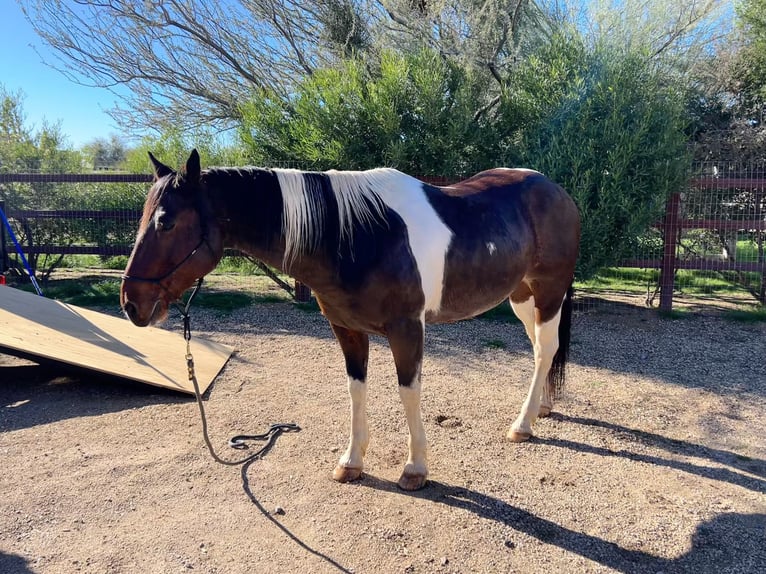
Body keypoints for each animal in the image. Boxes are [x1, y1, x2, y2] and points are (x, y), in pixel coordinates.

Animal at [121, 150, 580, 491]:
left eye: (166, 222)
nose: (131, 304)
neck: (355, 232)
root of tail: (555, 190)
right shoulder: (347, 330)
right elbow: (356, 390)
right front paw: (352, 461)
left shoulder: (407, 329)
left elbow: (408, 392)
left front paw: (415, 468)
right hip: (521, 296)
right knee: (541, 350)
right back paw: (540, 408)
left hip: (548, 293)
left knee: (547, 349)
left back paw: (522, 424)